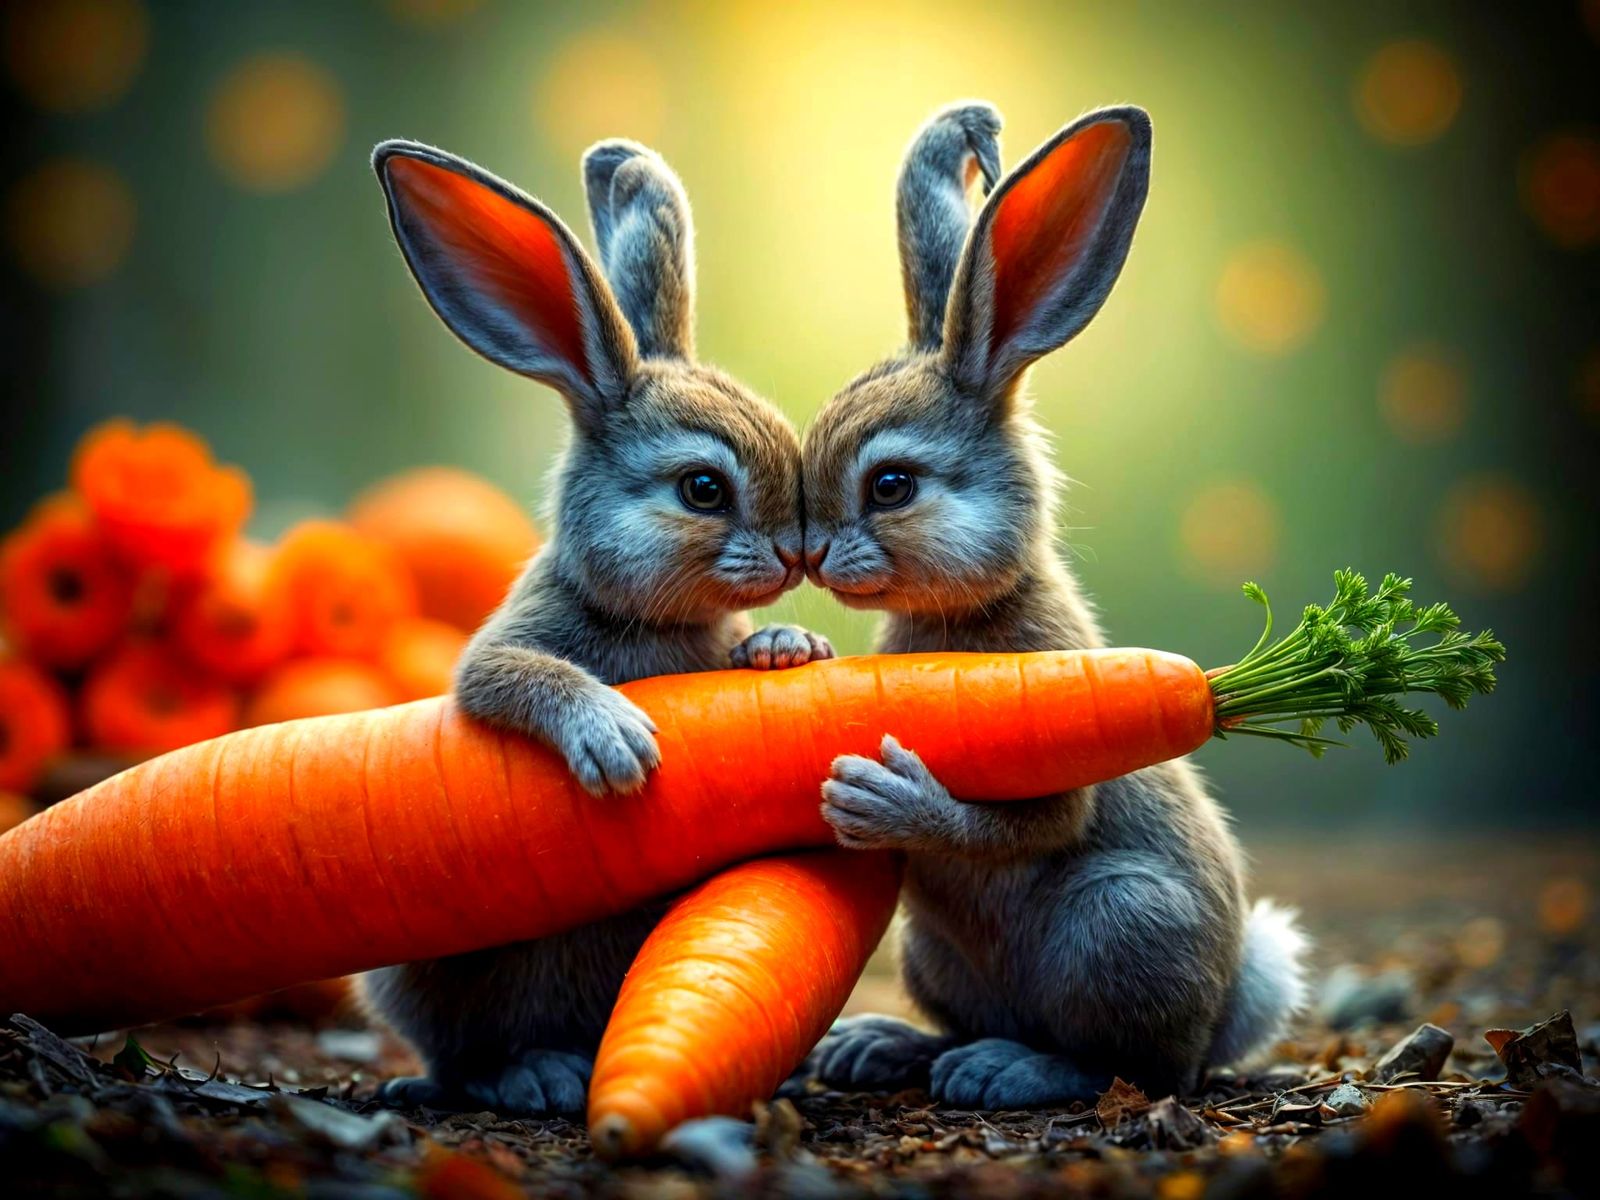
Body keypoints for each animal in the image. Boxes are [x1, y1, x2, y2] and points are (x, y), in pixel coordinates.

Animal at [360, 137, 831, 1116]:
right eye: (703, 488)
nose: (795, 557)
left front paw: (785, 648)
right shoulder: (500, 653)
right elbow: (517, 676)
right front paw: (615, 740)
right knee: (462, 1058)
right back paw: (530, 1074)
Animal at [798, 102, 1308, 1108]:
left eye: (892, 484)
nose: (810, 555)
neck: (970, 610)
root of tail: (1228, 1009)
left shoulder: (1057, 763)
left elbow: (1039, 822)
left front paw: (881, 798)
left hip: (1117, 923)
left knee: (1134, 1065)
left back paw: (1006, 1070)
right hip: (931, 954)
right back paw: (881, 1047)